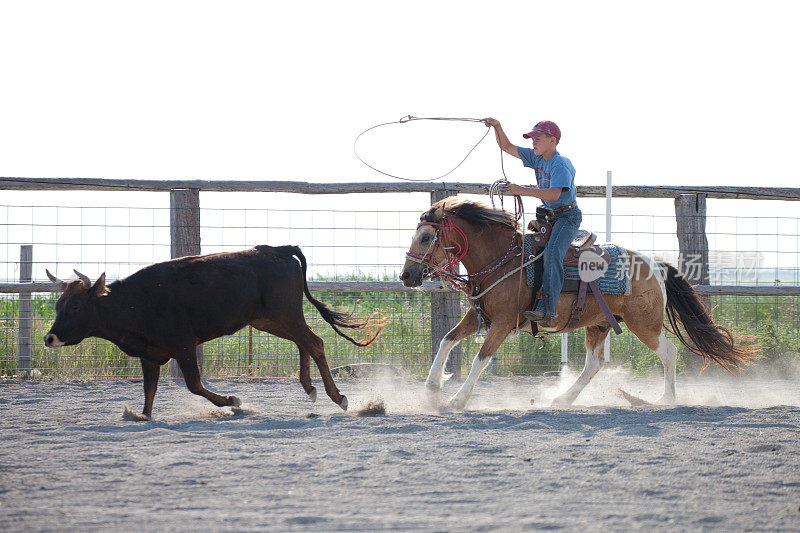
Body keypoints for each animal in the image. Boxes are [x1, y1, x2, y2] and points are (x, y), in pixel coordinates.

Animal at [43, 245, 382, 420]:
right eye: (58, 305)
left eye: (75, 307)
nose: (49, 338)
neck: (137, 301)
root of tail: (276, 250)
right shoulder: (149, 355)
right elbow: (149, 391)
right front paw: (144, 415)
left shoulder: (183, 345)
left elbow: (194, 385)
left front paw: (233, 400)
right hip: (270, 320)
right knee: (305, 343)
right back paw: (310, 389)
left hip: (283, 315)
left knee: (314, 342)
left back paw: (337, 397)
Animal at [400, 197, 764, 410]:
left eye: (426, 237)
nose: (406, 276)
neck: (503, 261)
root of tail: (655, 265)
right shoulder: (480, 317)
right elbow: (446, 341)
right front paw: (431, 387)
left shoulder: (503, 323)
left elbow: (480, 359)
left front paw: (457, 399)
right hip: (600, 324)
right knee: (594, 365)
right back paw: (563, 398)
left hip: (644, 325)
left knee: (669, 353)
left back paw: (664, 399)